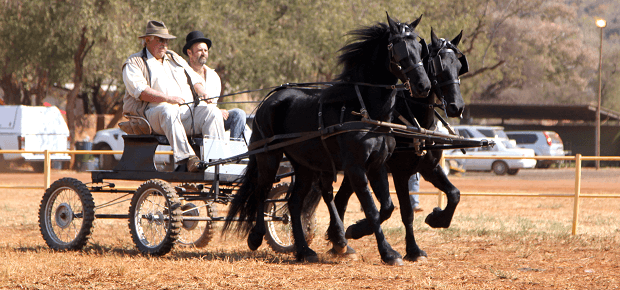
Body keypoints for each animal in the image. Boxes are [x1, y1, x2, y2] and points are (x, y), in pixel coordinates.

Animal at [225, 14, 434, 266]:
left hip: (304, 166)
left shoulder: (377, 165)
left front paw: (352, 232)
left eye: (419, 47)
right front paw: (386, 252)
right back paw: (256, 237)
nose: (424, 86)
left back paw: (304, 250)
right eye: (399, 48)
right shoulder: (355, 168)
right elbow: (373, 210)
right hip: (269, 156)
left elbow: (386, 207)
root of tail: (270, 99)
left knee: (294, 203)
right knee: (262, 191)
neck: (363, 108)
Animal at [332, 28, 468, 262]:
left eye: (459, 67)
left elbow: (454, 194)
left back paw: (339, 243)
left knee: (340, 199)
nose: (456, 107)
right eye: (438, 66)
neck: (413, 119)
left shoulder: (428, 167)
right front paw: (412, 250)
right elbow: (405, 212)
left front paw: (437, 219)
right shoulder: (399, 172)